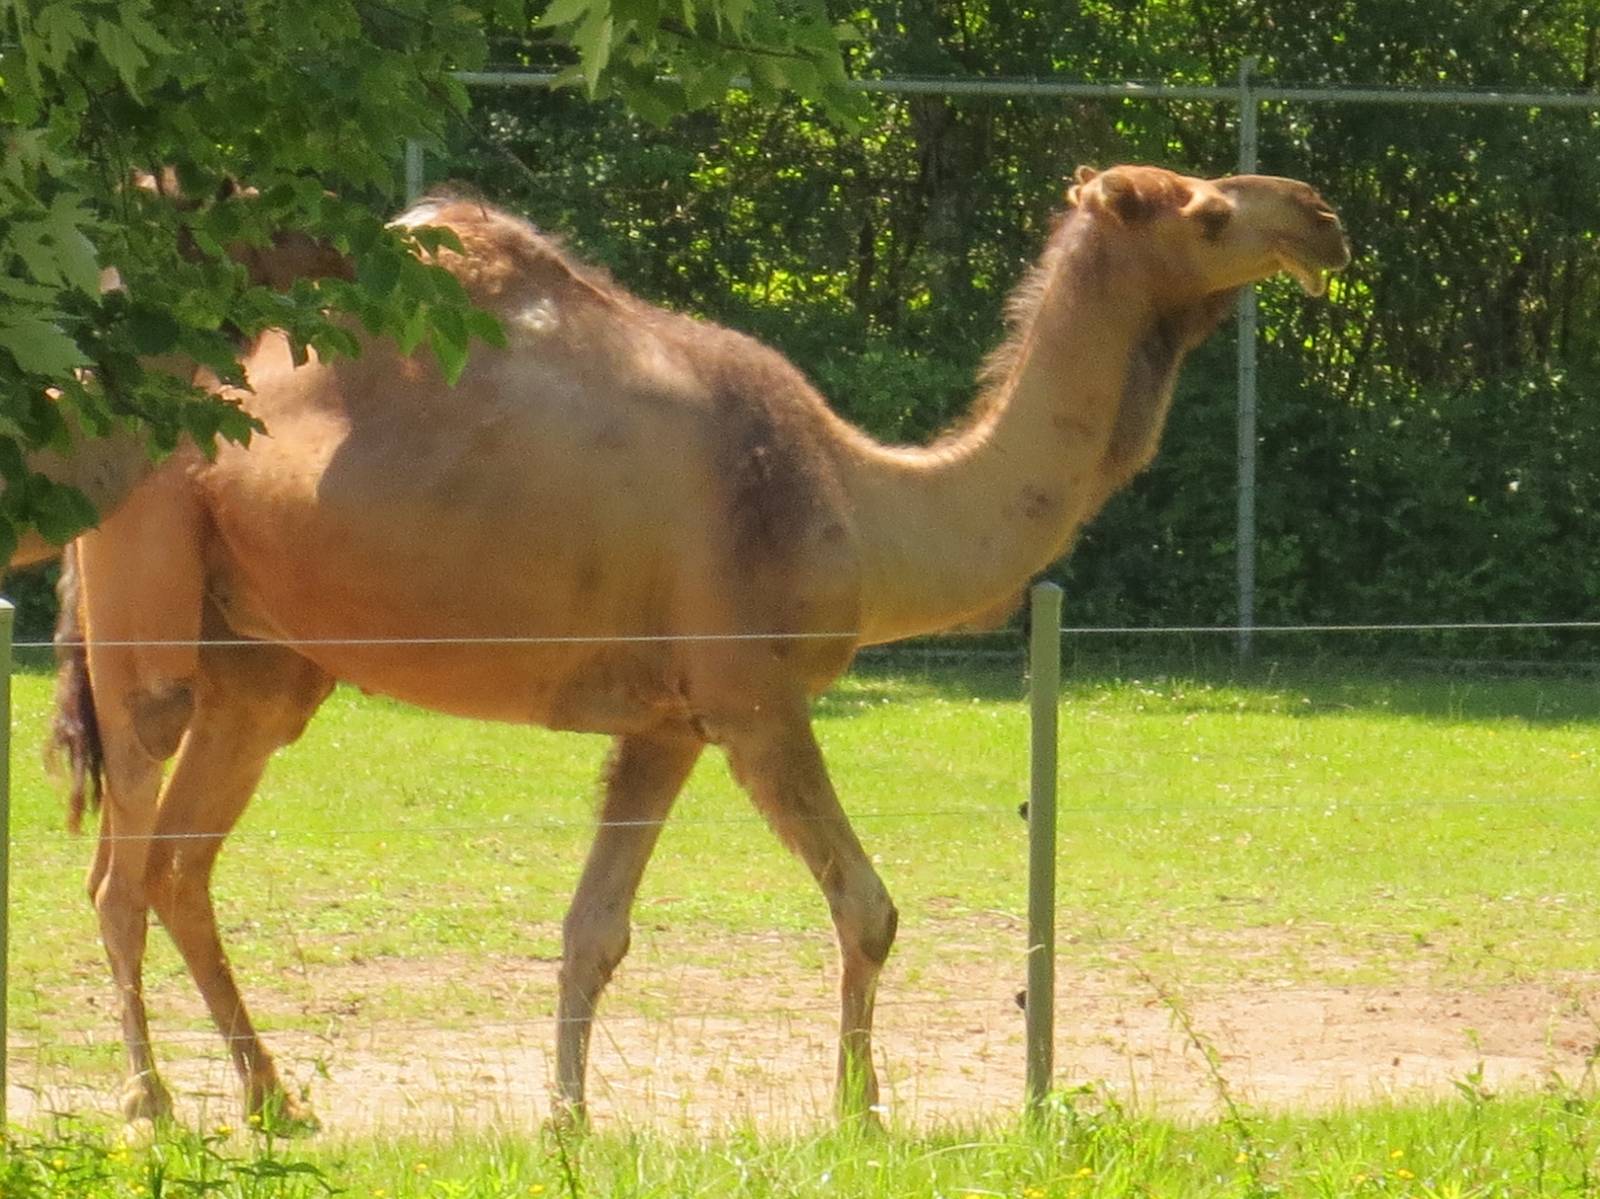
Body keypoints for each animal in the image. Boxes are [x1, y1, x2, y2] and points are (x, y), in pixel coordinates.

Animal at [39, 164, 1348, 1132]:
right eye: (1207, 209)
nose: (1320, 217)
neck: (863, 501)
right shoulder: (753, 697)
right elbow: (867, 905)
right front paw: (859, 1115)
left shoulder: (665, 722)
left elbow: (594, 930)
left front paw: (566, 1120)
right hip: (146, 579)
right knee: (121, 865)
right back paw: (153, 1104)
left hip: (264, 659)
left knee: (181, 863)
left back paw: (276, 1101)